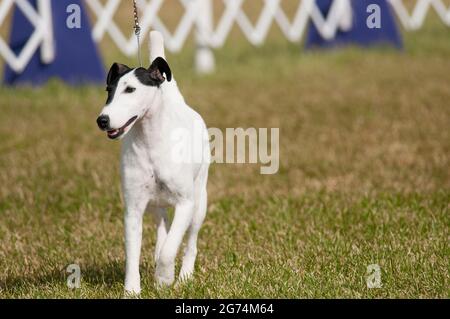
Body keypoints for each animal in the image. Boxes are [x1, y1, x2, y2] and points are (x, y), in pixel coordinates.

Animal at [96, 31, 209, 294]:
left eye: (130, 89)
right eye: (108, 90)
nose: (102, 120)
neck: (150, 142)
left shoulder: (185, 203)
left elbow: (172, 248)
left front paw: (164, 278)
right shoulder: (133, 208)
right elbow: (132, 254)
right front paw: (131, 290)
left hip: (200, 202)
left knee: (190, 243)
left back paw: (185, 276)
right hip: (154, 203)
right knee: (162, 223)